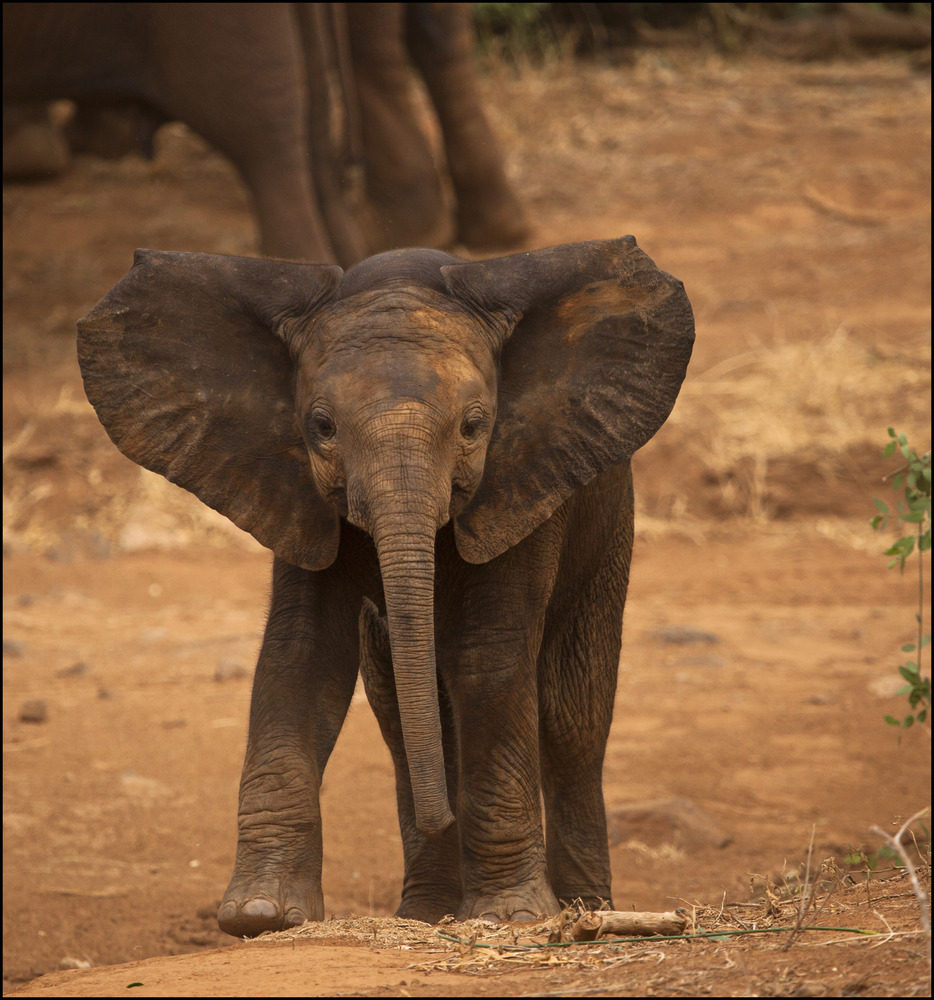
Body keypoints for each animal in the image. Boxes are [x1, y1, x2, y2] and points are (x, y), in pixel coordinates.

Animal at [78, 238, 696, 932]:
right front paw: (262, 914)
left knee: (571, 720)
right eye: (321, 427)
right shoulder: (297, 494)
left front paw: (511, 917)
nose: (442, 817)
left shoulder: (522, 481)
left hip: (607, 532)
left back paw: (588, 909)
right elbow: (301, 652)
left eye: (474, 427)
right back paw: (425, 914)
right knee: (404, 718)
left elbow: (489, 655)